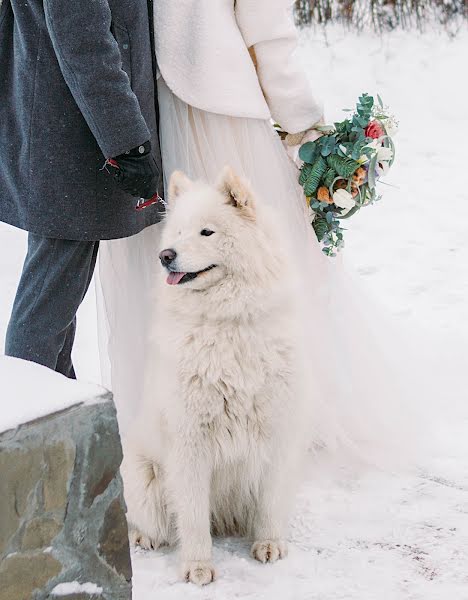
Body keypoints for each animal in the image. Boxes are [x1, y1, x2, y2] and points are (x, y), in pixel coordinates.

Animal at [120, 166, 310, 584]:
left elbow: (270, 500)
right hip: (144, 478)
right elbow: (191, 515)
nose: (165, 256)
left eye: (206, 232)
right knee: (144, 518)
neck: (226, 322)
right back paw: (143, 537)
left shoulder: (278, 429)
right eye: (177, 232)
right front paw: (197, 566)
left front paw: (268, 544)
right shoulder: (189, 440)